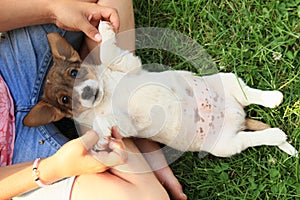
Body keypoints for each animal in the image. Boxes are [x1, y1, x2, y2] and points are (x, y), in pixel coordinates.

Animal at [22, 20, 298, 158]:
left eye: (74, 72)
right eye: (65, 99)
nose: (88, 94)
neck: (106, 95)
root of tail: (238, 116)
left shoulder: (126, 64)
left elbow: (109, 51)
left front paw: (104, 29)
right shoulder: (126, 125)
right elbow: (105, 122)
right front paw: (101, 136)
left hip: (226, 80)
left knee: (249, 94)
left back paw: (273, 98)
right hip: (227, 145)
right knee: (253, 138)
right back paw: (276, 135)